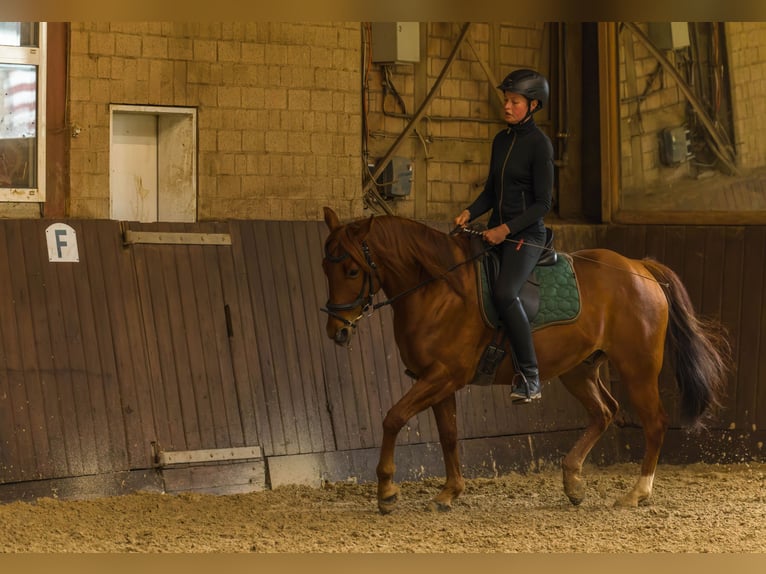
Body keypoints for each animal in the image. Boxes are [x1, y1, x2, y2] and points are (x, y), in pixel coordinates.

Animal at [320, 208, 732, 516]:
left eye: (352, 270)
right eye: (326, 268)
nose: (337, 331)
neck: (438, 288)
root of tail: (639, 267)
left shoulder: (442, 376)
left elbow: (393, 418)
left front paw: (387, 492)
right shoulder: (436, 379)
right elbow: (449, 435)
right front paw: (450, 492)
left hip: (637, 368)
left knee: (655, 422)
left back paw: (636, 493)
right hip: (578, 369)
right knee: (605, 411)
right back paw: (572, 481)